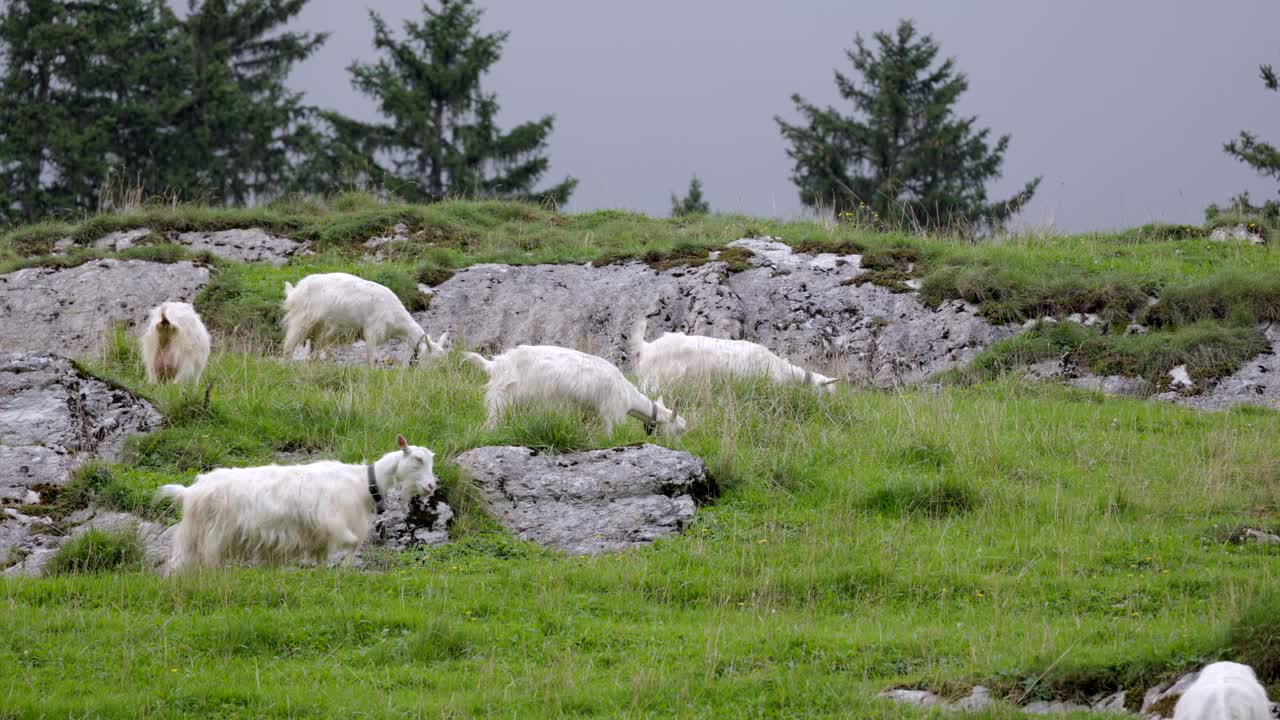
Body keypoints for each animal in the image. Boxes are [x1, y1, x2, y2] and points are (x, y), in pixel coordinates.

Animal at [152, 435, 435, 568]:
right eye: (417, 460)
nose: (432, 486)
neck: (360, 482)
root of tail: (189, 491)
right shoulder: (333, 521)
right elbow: (353, 542)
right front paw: (344, 566)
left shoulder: (320, 536)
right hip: (212, 534)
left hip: (194, 536)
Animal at [279, 271, 445, 366]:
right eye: (434, 361)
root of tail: (295, 291)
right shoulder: (372, 331)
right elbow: (373, 358)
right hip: (302, 320)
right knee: (288, 348)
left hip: (319, 328)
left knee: (313, 351)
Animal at [463, 343, 686, 435]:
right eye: (680, 430)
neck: (628, 396)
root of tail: (494, 364)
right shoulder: (611, 415)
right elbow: (609, 436)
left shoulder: (591, 415)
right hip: (502, 398)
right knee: (490, 424)